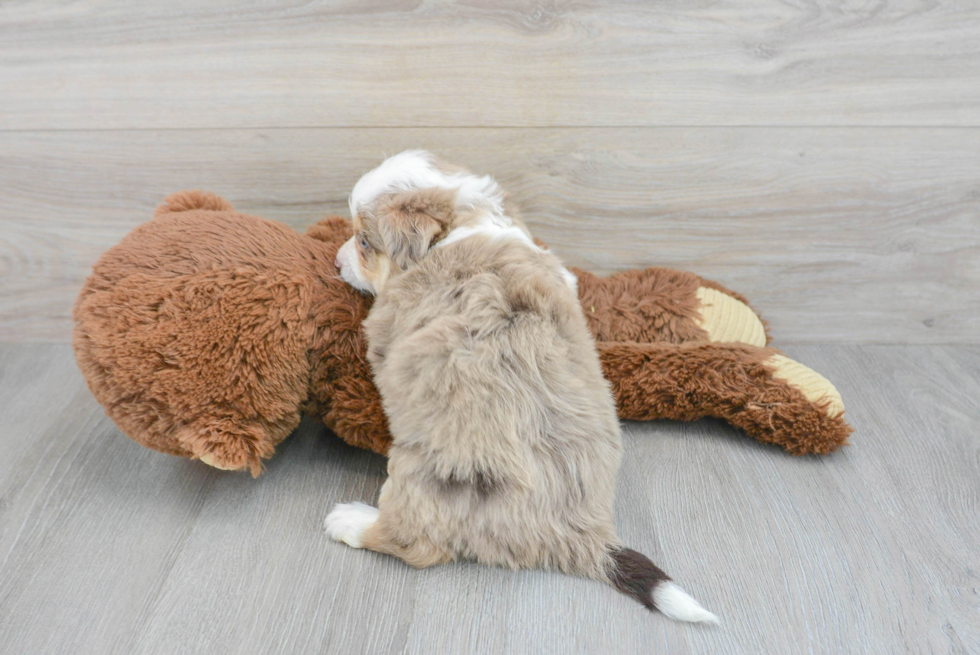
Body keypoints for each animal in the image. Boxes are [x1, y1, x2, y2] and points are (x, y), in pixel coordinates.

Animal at [326, 151, 716, 624]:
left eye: (364, 241)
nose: (335, 263)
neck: (461, 223)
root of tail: (583, 532)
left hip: (425, 475)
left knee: (415, 543)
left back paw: (351, 520)